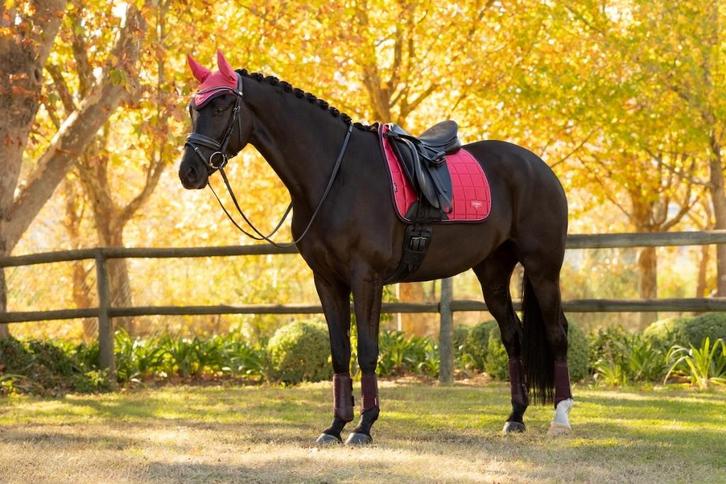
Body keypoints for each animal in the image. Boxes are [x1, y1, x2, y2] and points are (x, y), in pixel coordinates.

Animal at [178, 50, 574, 445]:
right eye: (193, 108)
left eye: (222, 106)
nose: (189, 172)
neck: (336, 176)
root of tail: (538, 167)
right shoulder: (327, 281)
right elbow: (339, 352)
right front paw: (335, 426)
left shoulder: (366, 278)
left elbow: (367, 350)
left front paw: (364, 426)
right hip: (492, 273)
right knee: (513, 336)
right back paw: (515, 416)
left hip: (542, 268)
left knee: (557, 333)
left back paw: (561, 417)